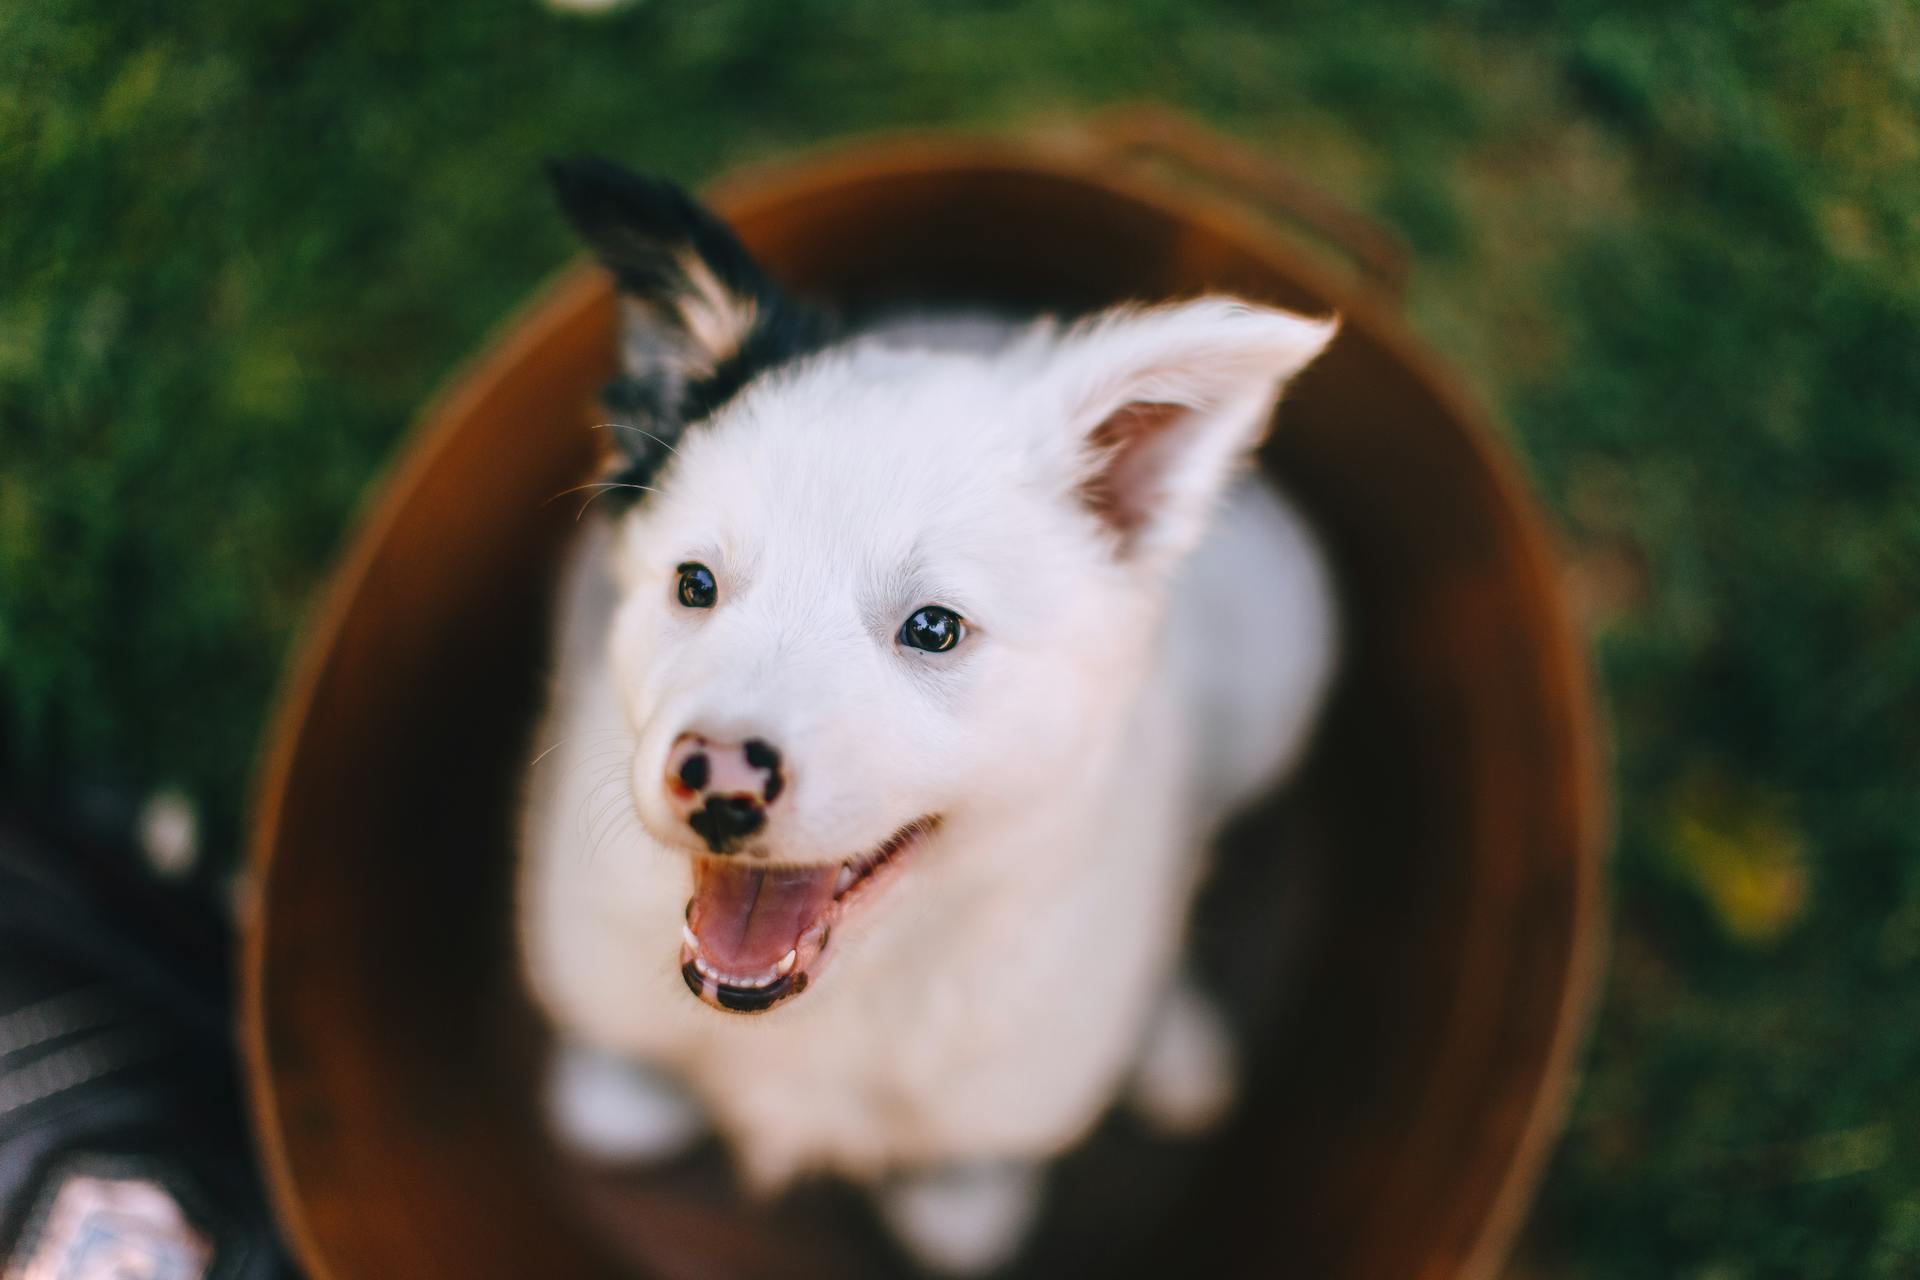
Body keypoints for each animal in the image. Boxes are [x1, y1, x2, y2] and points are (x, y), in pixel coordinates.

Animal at [518, 160, 1344, 1274]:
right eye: (694, 583)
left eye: (935, 628)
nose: (716, 776)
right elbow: (615, 1086)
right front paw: (628, 1086)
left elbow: (967, 1191)